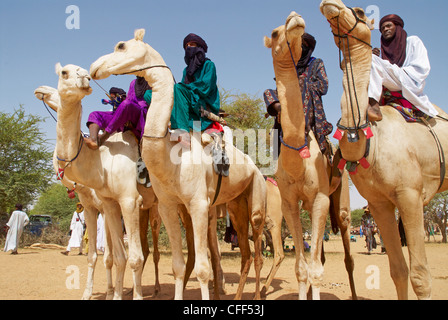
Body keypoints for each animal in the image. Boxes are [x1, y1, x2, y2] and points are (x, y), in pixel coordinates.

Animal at [90, 29, 266, 300]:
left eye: (121, 46)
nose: (95, 67)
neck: (172, 159)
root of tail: (254, 167)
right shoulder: (168, 206)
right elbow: (178, 266)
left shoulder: (198, 205)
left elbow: (203, 269)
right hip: (235, 205)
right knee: (245, 254)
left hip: (257, 198)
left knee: (257, 251)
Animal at [320, 0, 448, 300]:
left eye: (359, 12)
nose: (332, 4)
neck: (371, 142)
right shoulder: (379, 203)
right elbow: (398, 271)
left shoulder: (410, 195)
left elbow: (421, 276)